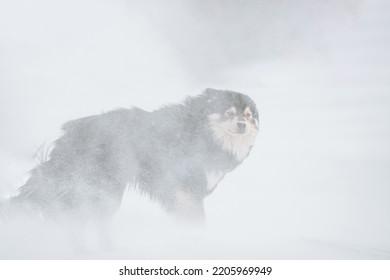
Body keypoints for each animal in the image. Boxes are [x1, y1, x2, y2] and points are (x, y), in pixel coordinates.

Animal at [0, 88, 258, 246]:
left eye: (248, 115)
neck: (203, 132)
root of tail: (68, 136)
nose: (242, 125)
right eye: (229, 113)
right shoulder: (186, 190)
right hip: (104, 191)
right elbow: (196, 221)